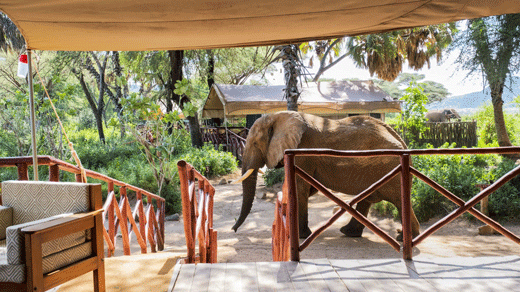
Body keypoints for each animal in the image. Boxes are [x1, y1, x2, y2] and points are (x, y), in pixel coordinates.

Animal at [234, 110, 420, 241]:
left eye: (255, 143)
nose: (233, 230)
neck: (278, 116)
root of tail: (403, 142)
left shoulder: (302, 152)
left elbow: (300, 188)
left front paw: (300, 236)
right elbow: (308, 188)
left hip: (390, 168)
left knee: (399, 201)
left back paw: (403, 238)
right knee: (368, 200)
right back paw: (349, 233)